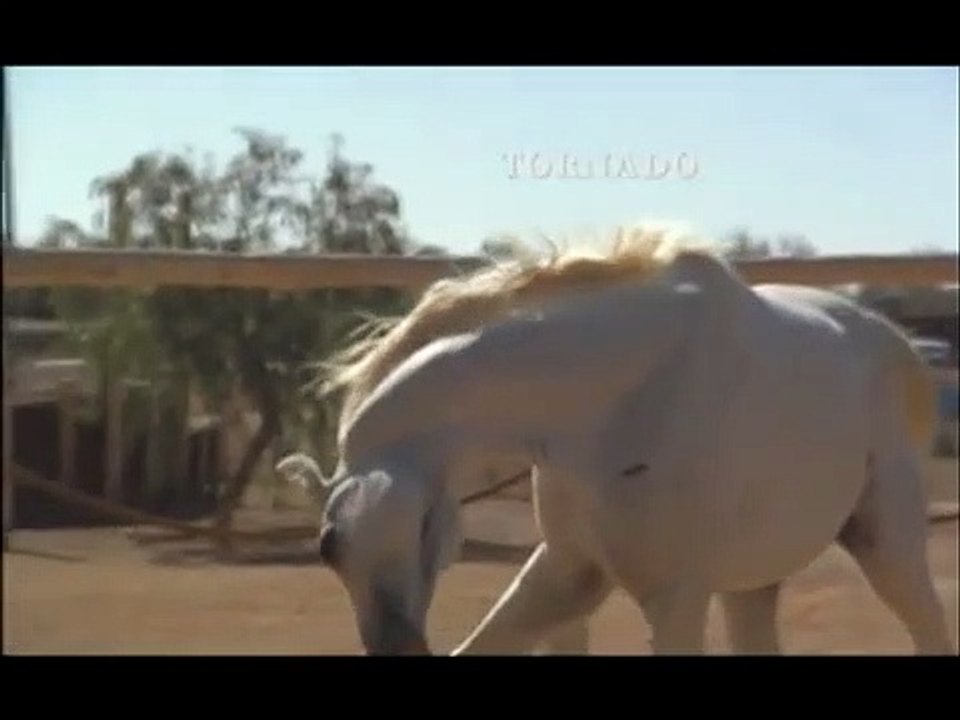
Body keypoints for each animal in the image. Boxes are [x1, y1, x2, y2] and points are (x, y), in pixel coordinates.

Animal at [277, 225, 954, 655]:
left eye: (420, 530)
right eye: (327, 549)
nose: (400, 649)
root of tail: (901, 348)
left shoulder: (675, 595)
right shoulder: (569, 571)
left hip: (887, 547)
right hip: (753, 585)